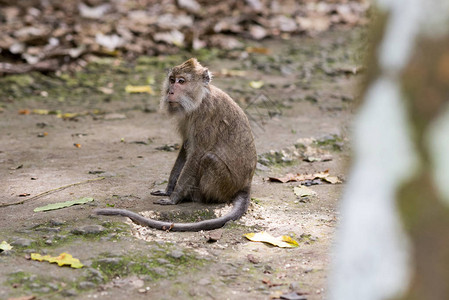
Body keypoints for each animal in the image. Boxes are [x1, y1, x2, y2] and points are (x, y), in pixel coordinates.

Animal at [94, 58, 256, 232]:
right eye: (172, 80)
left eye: (181, 81)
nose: (170, 91)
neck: (199, 99)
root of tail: (246, 185)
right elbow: (185, 148)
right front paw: (168, 190)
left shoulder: (205, 115)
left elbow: (197, 153)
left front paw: (174, 197)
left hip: (226, 185)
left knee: (209, 158)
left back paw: (195, 197)